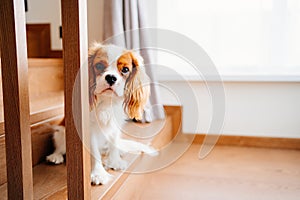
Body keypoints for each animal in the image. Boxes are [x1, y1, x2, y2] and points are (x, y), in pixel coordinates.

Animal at [46, 43, 157, 185]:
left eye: (125, 69)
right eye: (99, 66)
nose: (111, 77)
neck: (106, 101)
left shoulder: (115, 127)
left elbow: (113, 144)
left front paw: (115, 161)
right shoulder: (90, 130)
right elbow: (94, 152)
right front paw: (98, 173)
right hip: (60, 133)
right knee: (60, 147)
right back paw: (55, 156)